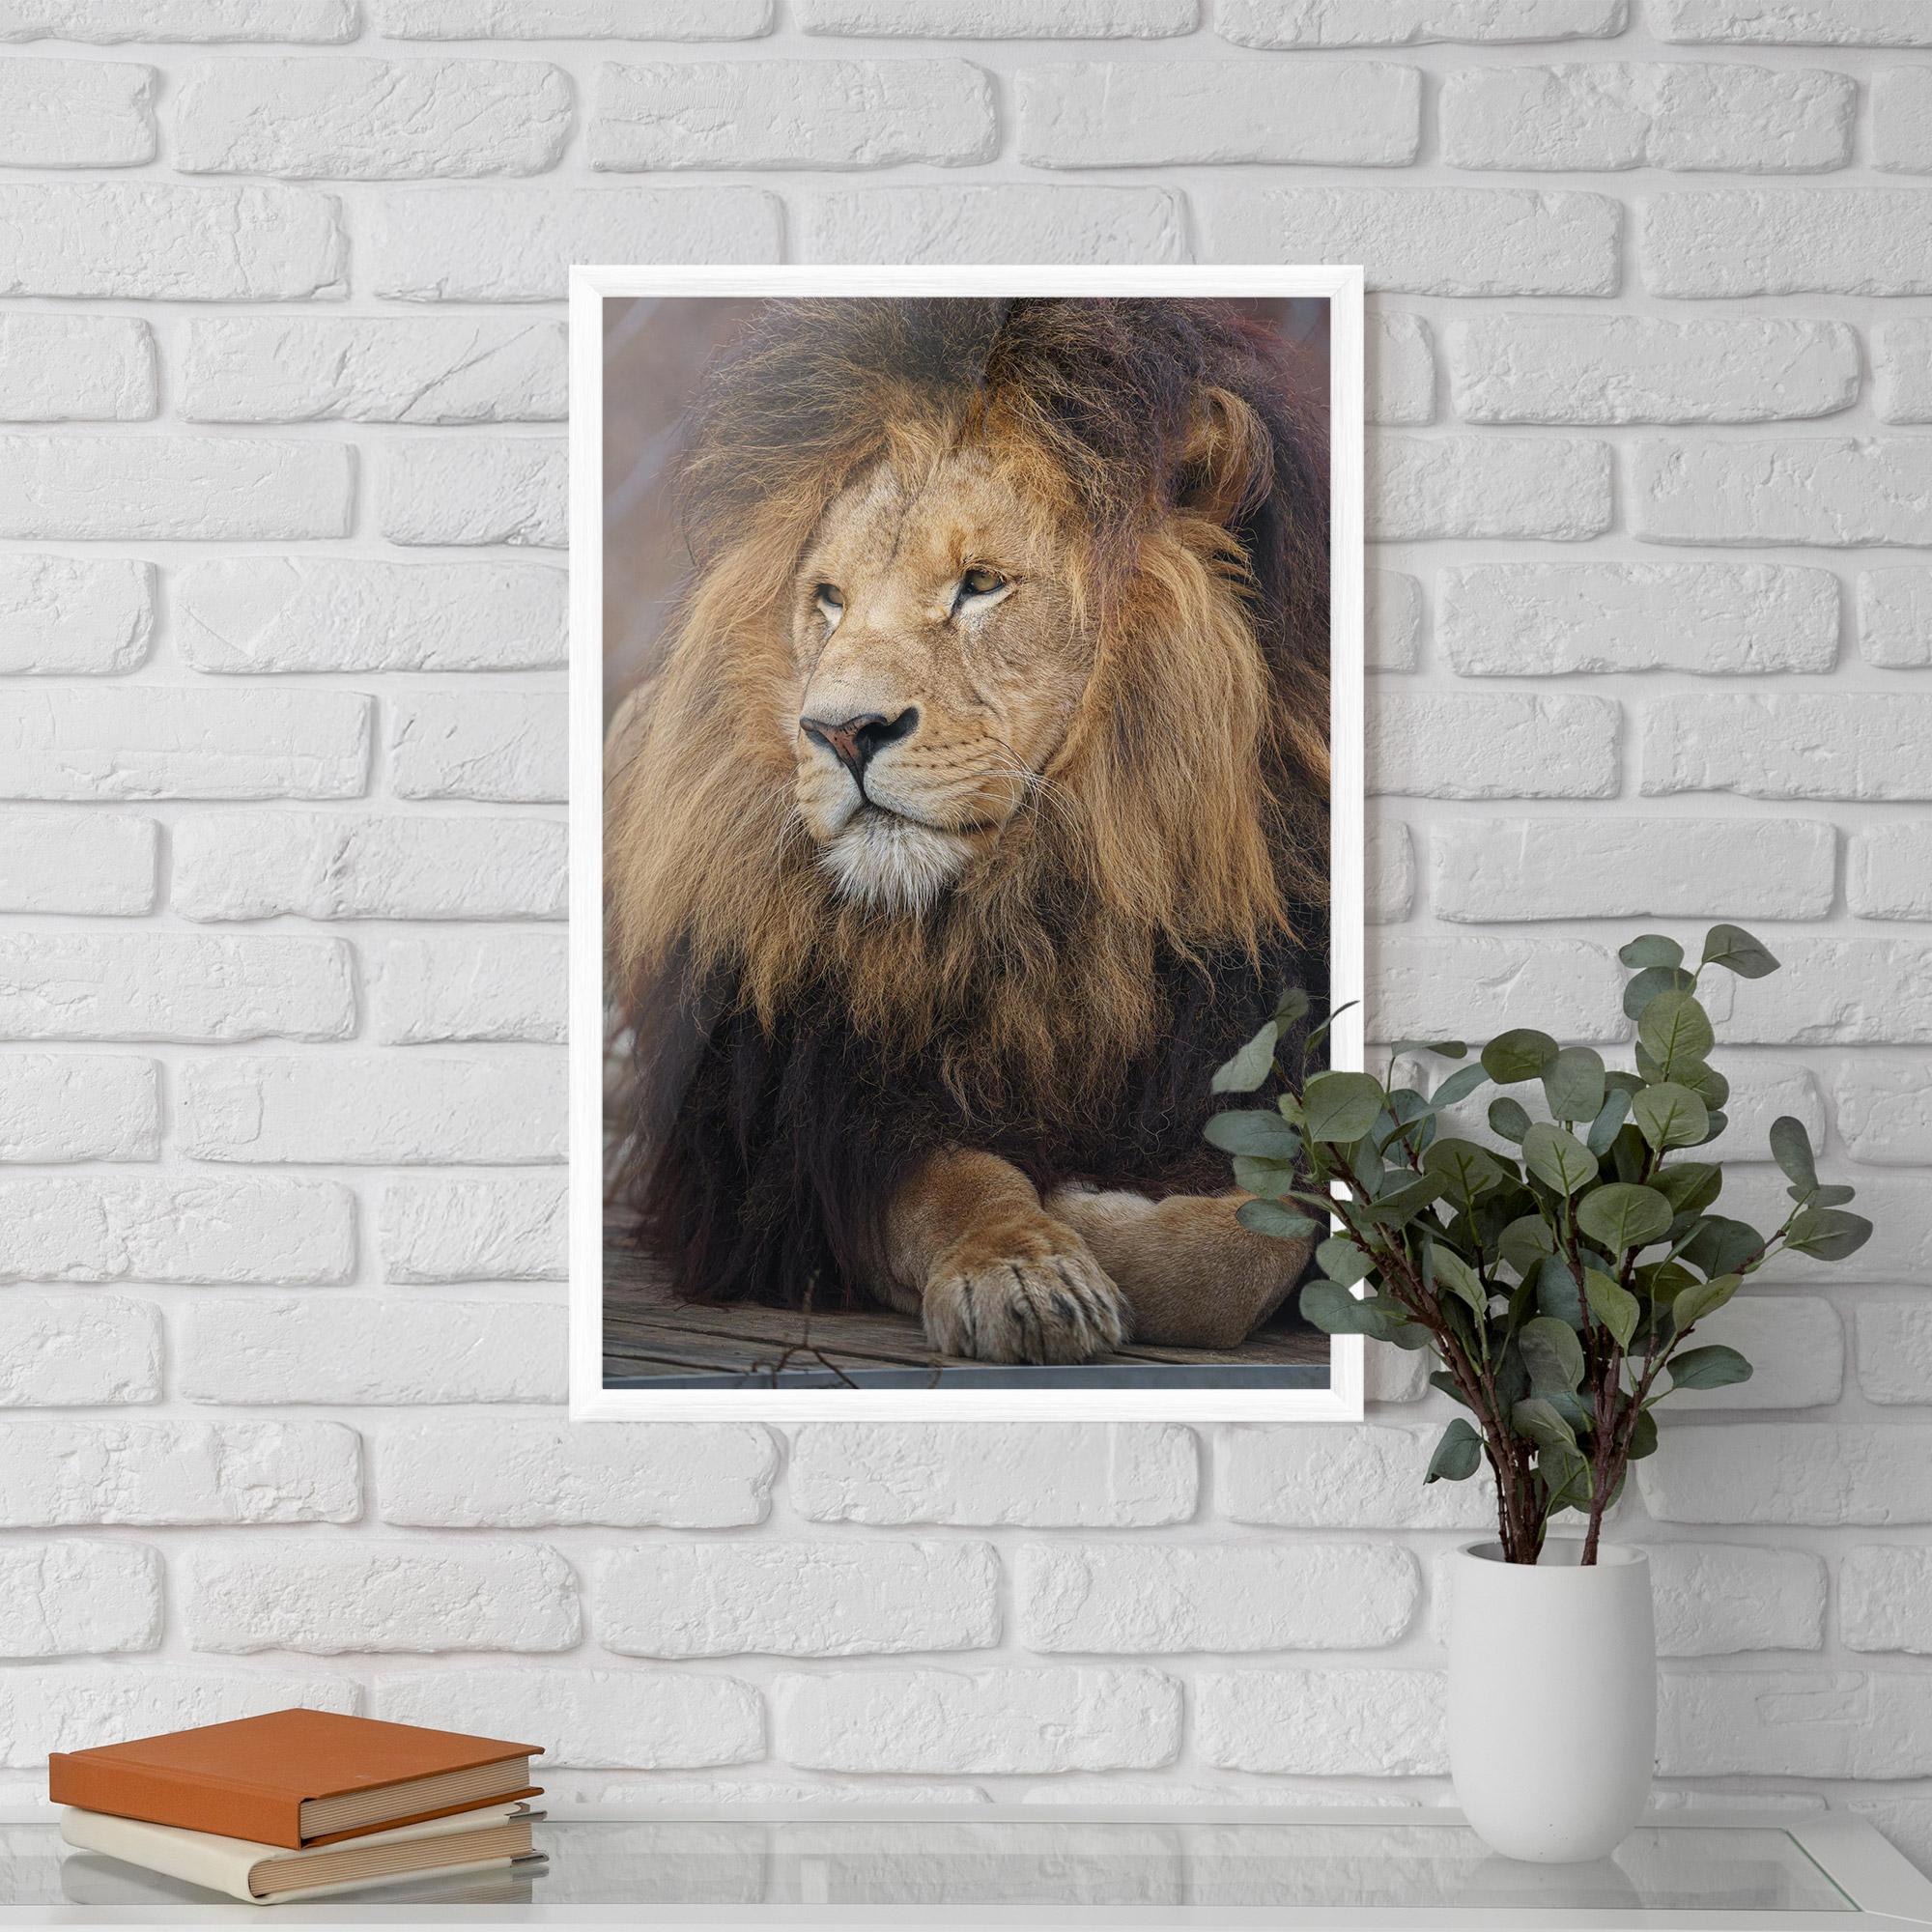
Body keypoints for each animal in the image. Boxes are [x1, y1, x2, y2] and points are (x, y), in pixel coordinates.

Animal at [605, 297, 1330, 1366]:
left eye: (980, 584)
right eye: (827, 600)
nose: (838, 731)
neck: (1042, 911)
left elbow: (1260, 1240)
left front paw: (1100, 1207)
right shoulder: (791, 1135)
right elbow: (951, 1184)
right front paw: (1028, 1264)